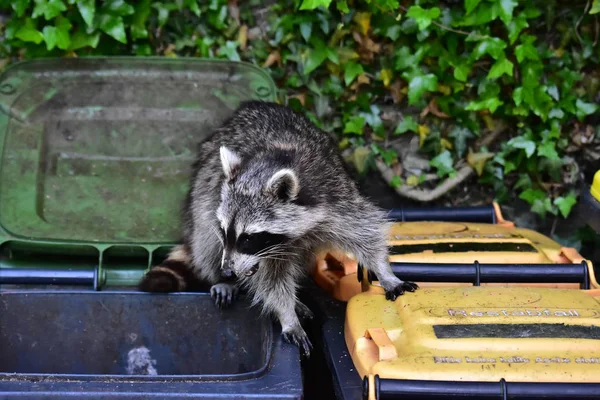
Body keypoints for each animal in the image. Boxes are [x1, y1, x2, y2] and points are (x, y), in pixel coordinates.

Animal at [138, 101, 418, 354]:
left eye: (248, 238)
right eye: (226, 232)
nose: (227, 271)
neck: (276, 159)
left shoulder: (338, 196)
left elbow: (365, 233)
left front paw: (384, 272)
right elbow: (272, 281)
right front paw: (286, 315)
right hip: (204, 192)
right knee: (205, 236)